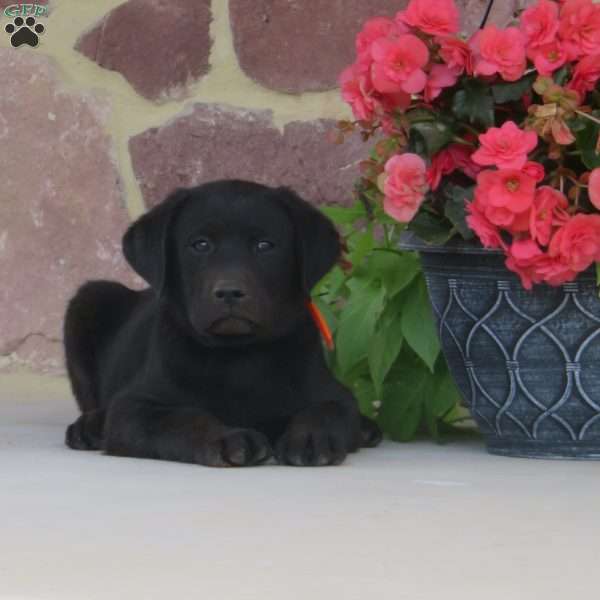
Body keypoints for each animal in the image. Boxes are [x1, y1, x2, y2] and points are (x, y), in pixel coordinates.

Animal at [63, 180, 382, 466]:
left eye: (264, 245)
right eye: (200, 245)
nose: (229, 292)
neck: (238, 356)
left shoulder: (334, 394)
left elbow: (327, 411)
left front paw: (311, 439)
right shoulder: (134, 409)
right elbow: (184, 418)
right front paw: (226, 439)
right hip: (88, 299)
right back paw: (89, 427)